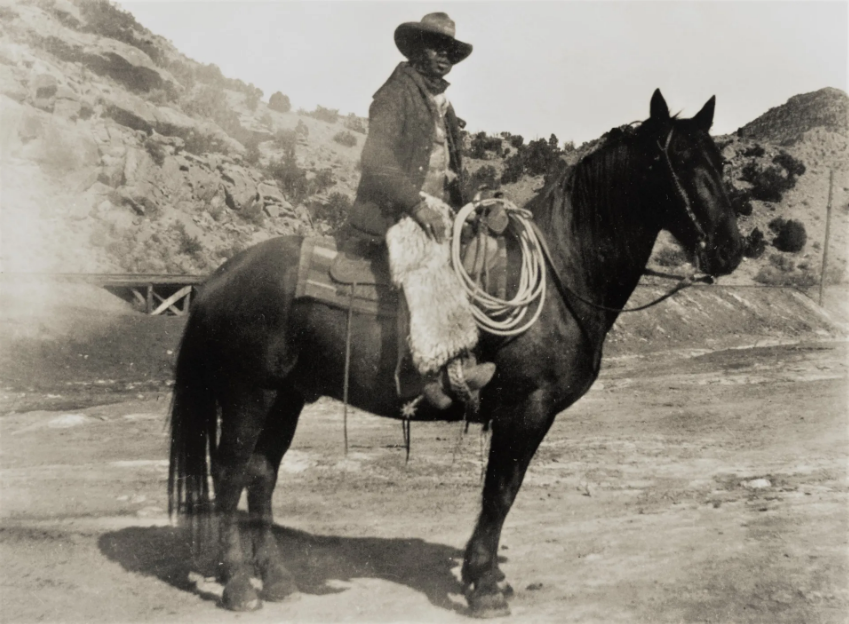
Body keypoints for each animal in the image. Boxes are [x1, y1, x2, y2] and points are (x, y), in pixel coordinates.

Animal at [167, 90, 744, 616]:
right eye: (680, 161)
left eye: (718, 162)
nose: (731, 250)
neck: (563, 271)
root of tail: (217, 277)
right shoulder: (526, 410)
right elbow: (501, 492)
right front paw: (484, 585)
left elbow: (503, 491)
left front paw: (481, 574)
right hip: (250, 393)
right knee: (230, 473)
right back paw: (238, 585)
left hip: (287, 397)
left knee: (261, 474)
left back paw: (277, 579)